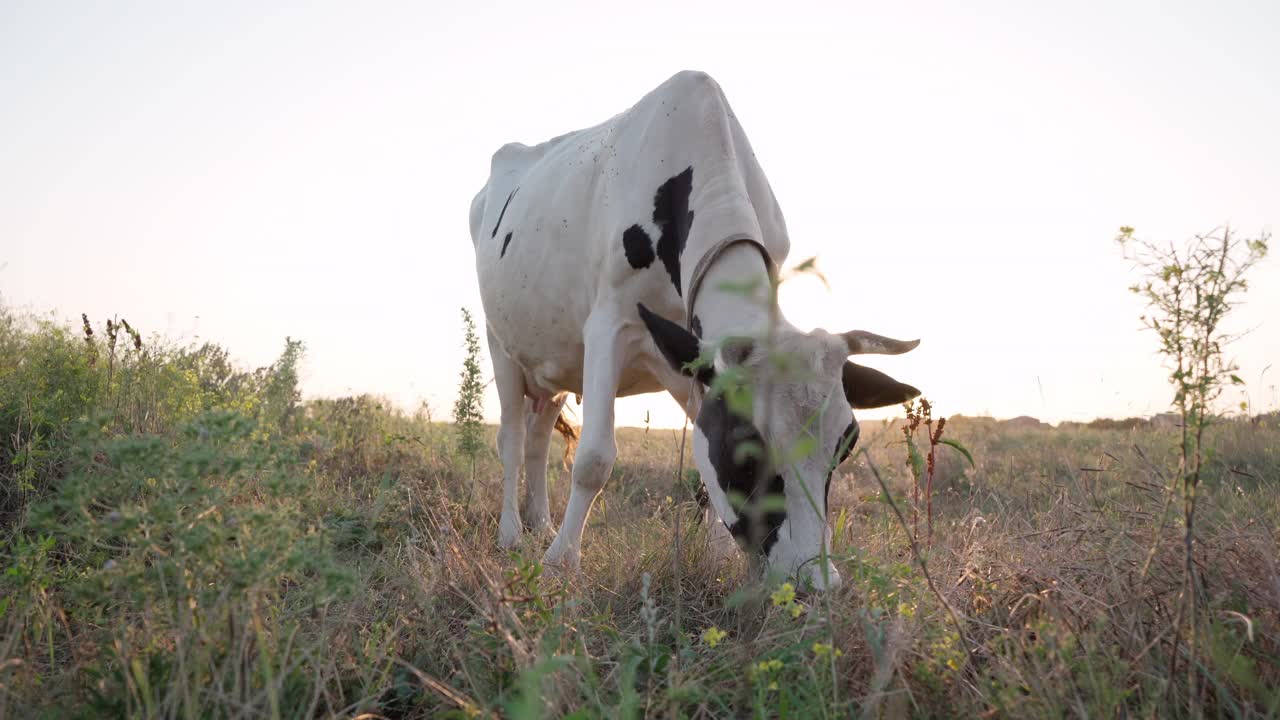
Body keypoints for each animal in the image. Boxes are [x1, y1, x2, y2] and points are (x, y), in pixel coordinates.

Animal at [471, 70, 921, 586]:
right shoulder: (608, 324)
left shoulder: (691, 356)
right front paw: (560, 563)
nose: (813, 582)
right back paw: (512, 534)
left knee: (539, 437)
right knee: (511, 439)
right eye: (746, 450)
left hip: (556, 362)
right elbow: (594, 459)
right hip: (500, 342)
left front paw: (718, 558)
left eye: (844, 446)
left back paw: (541, 523)